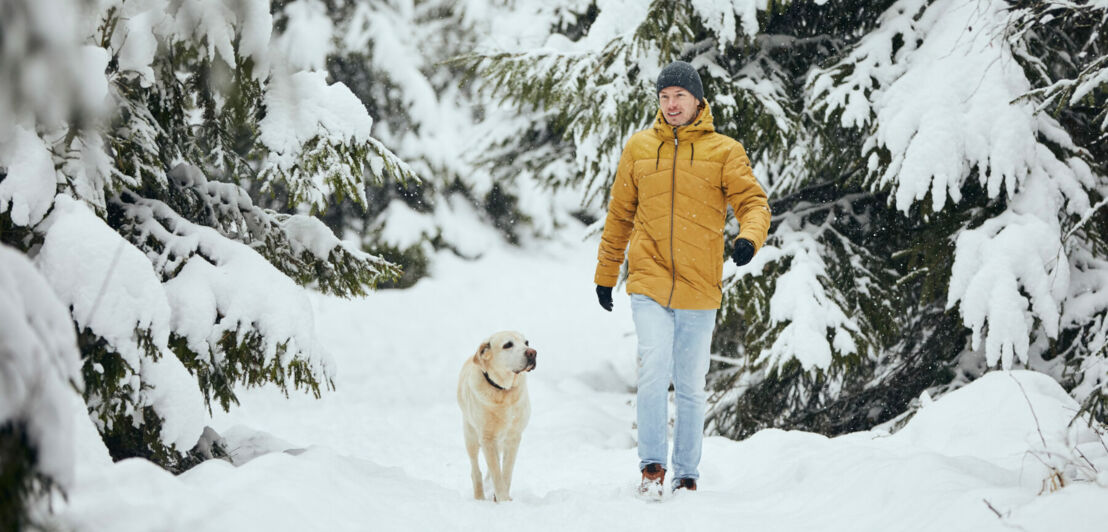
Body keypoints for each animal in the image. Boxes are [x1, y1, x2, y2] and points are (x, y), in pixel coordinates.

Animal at [456, 330, 538, 500]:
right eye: (507, 345)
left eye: (527, 342)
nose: (532, 352)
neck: (503, 391)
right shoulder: (487, 439)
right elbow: (496, 473)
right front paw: (503, 500)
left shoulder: (513, 438)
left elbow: (506, 472)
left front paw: (502, 498)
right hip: (470, 436)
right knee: (475, 470)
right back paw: (479, 496)